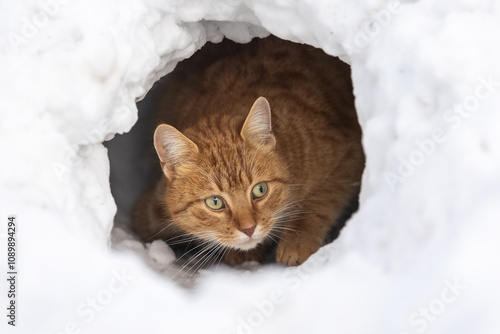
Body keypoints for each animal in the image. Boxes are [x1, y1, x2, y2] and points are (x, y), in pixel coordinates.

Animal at [132, 36, 364, 266]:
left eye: (260, 190)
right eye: (215, 202)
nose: (249, 229)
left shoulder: (349, 155)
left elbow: (319, 203)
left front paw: (298, 240)